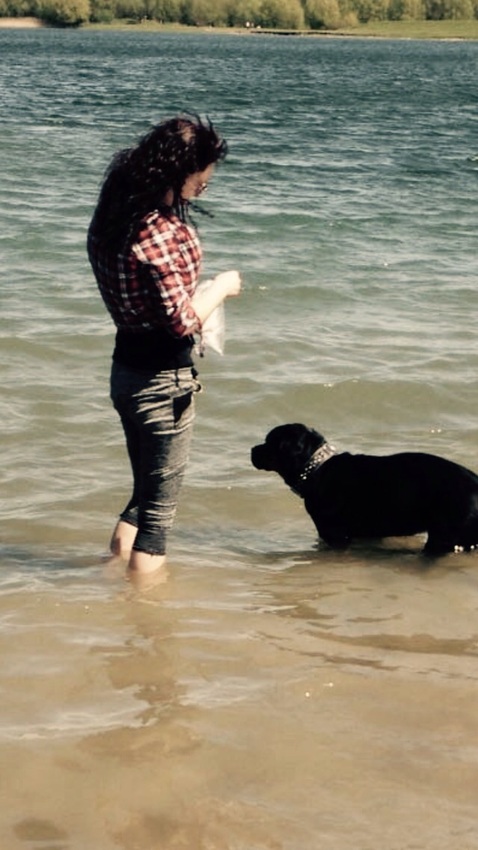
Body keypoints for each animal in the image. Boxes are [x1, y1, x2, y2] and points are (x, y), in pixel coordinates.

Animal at [251, 423, 478, 556]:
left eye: (269, 442)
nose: (252, 450)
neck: (316, 469)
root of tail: (475, 481)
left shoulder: (334, 533)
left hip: (445, 534)